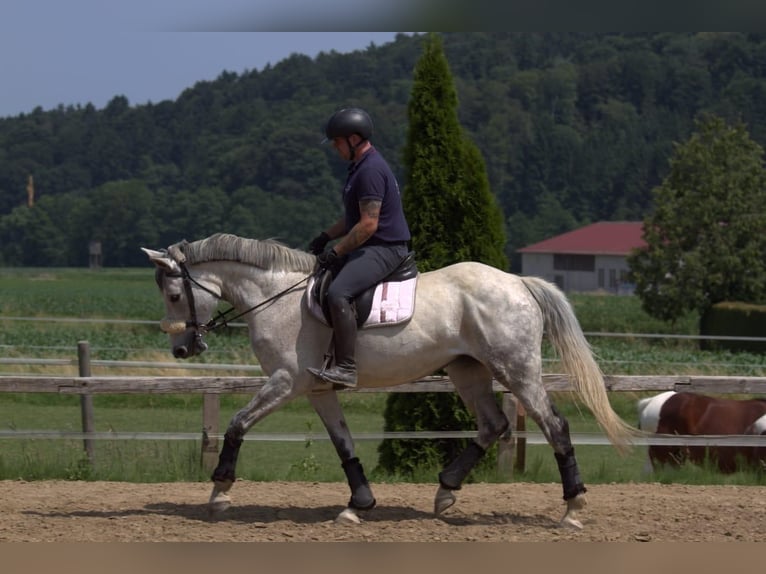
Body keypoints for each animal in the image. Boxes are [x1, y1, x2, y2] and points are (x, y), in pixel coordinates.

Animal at [142, 233, 636, 529]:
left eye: (174, 294)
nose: (182, 350)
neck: (274, 297)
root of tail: (518, 282)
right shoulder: (317, 390)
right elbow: (343, 444)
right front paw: (357, 505)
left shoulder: (285, 382)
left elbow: (237, 425)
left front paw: (219, 492)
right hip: (467, 370)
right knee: (493, 424)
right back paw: (445, 493)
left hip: (517, 370)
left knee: (554, 426)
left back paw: (573, 508)